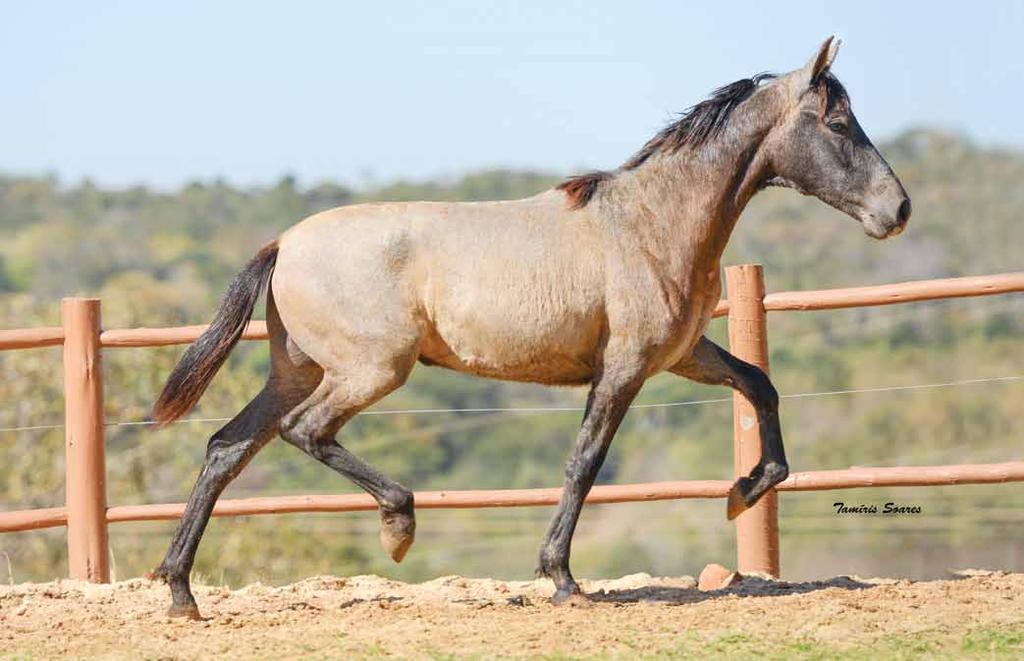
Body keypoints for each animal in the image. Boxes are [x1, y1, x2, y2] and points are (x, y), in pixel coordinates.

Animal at [146, 37, 913, 622]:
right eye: (838, 124)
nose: (898, 209)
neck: (651, 221)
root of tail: (284, 243)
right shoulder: (626, 367)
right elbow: (585, 461)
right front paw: (563, 579)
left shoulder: (683, 353)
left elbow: (761, 386)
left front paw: (744, 490)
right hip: (371, 370)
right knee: (304, 431)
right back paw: (399, 525)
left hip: (298, 369)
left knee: (226, 447)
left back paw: (182, 593)